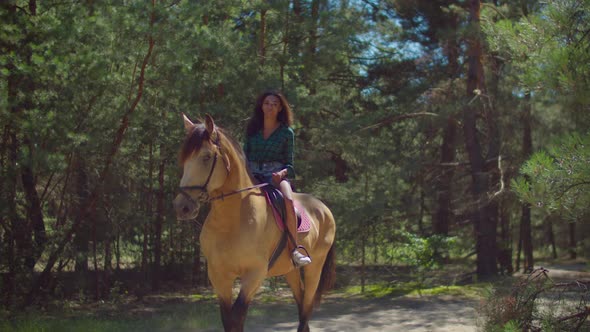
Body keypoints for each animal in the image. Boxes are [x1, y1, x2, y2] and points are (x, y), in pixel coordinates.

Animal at [172, 115, 338, 332]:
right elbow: (229, 320)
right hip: (290, 270)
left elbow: (237, 317)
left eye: (206, 157)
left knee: (307, 305)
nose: (182, 207)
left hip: (314, 267)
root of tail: (324, 208)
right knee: (301, 302)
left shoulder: (254, 274)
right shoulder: (219, 275)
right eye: (184, 159)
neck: (232, 220)